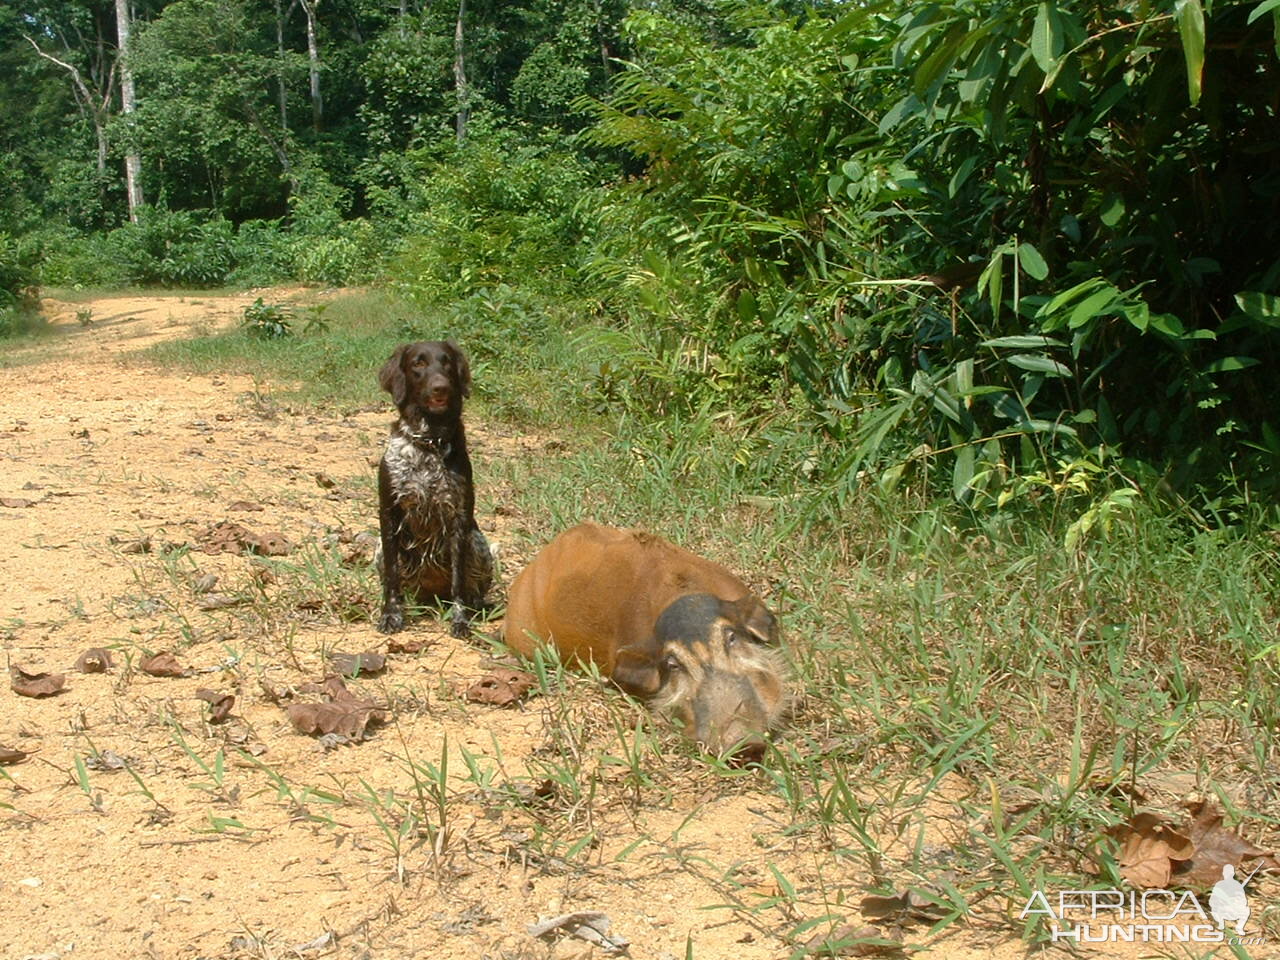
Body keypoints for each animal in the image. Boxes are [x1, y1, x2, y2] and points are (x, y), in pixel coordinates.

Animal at [376, 340, 491, 640]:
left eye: (447, 362)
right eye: (418, 363)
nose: (441, 387)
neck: (429, 442)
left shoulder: (460, 517)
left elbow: (459, 582)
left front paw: (461, 620)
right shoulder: (389, 512)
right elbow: (392, 577)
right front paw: (391, 614)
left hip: (478, 541)